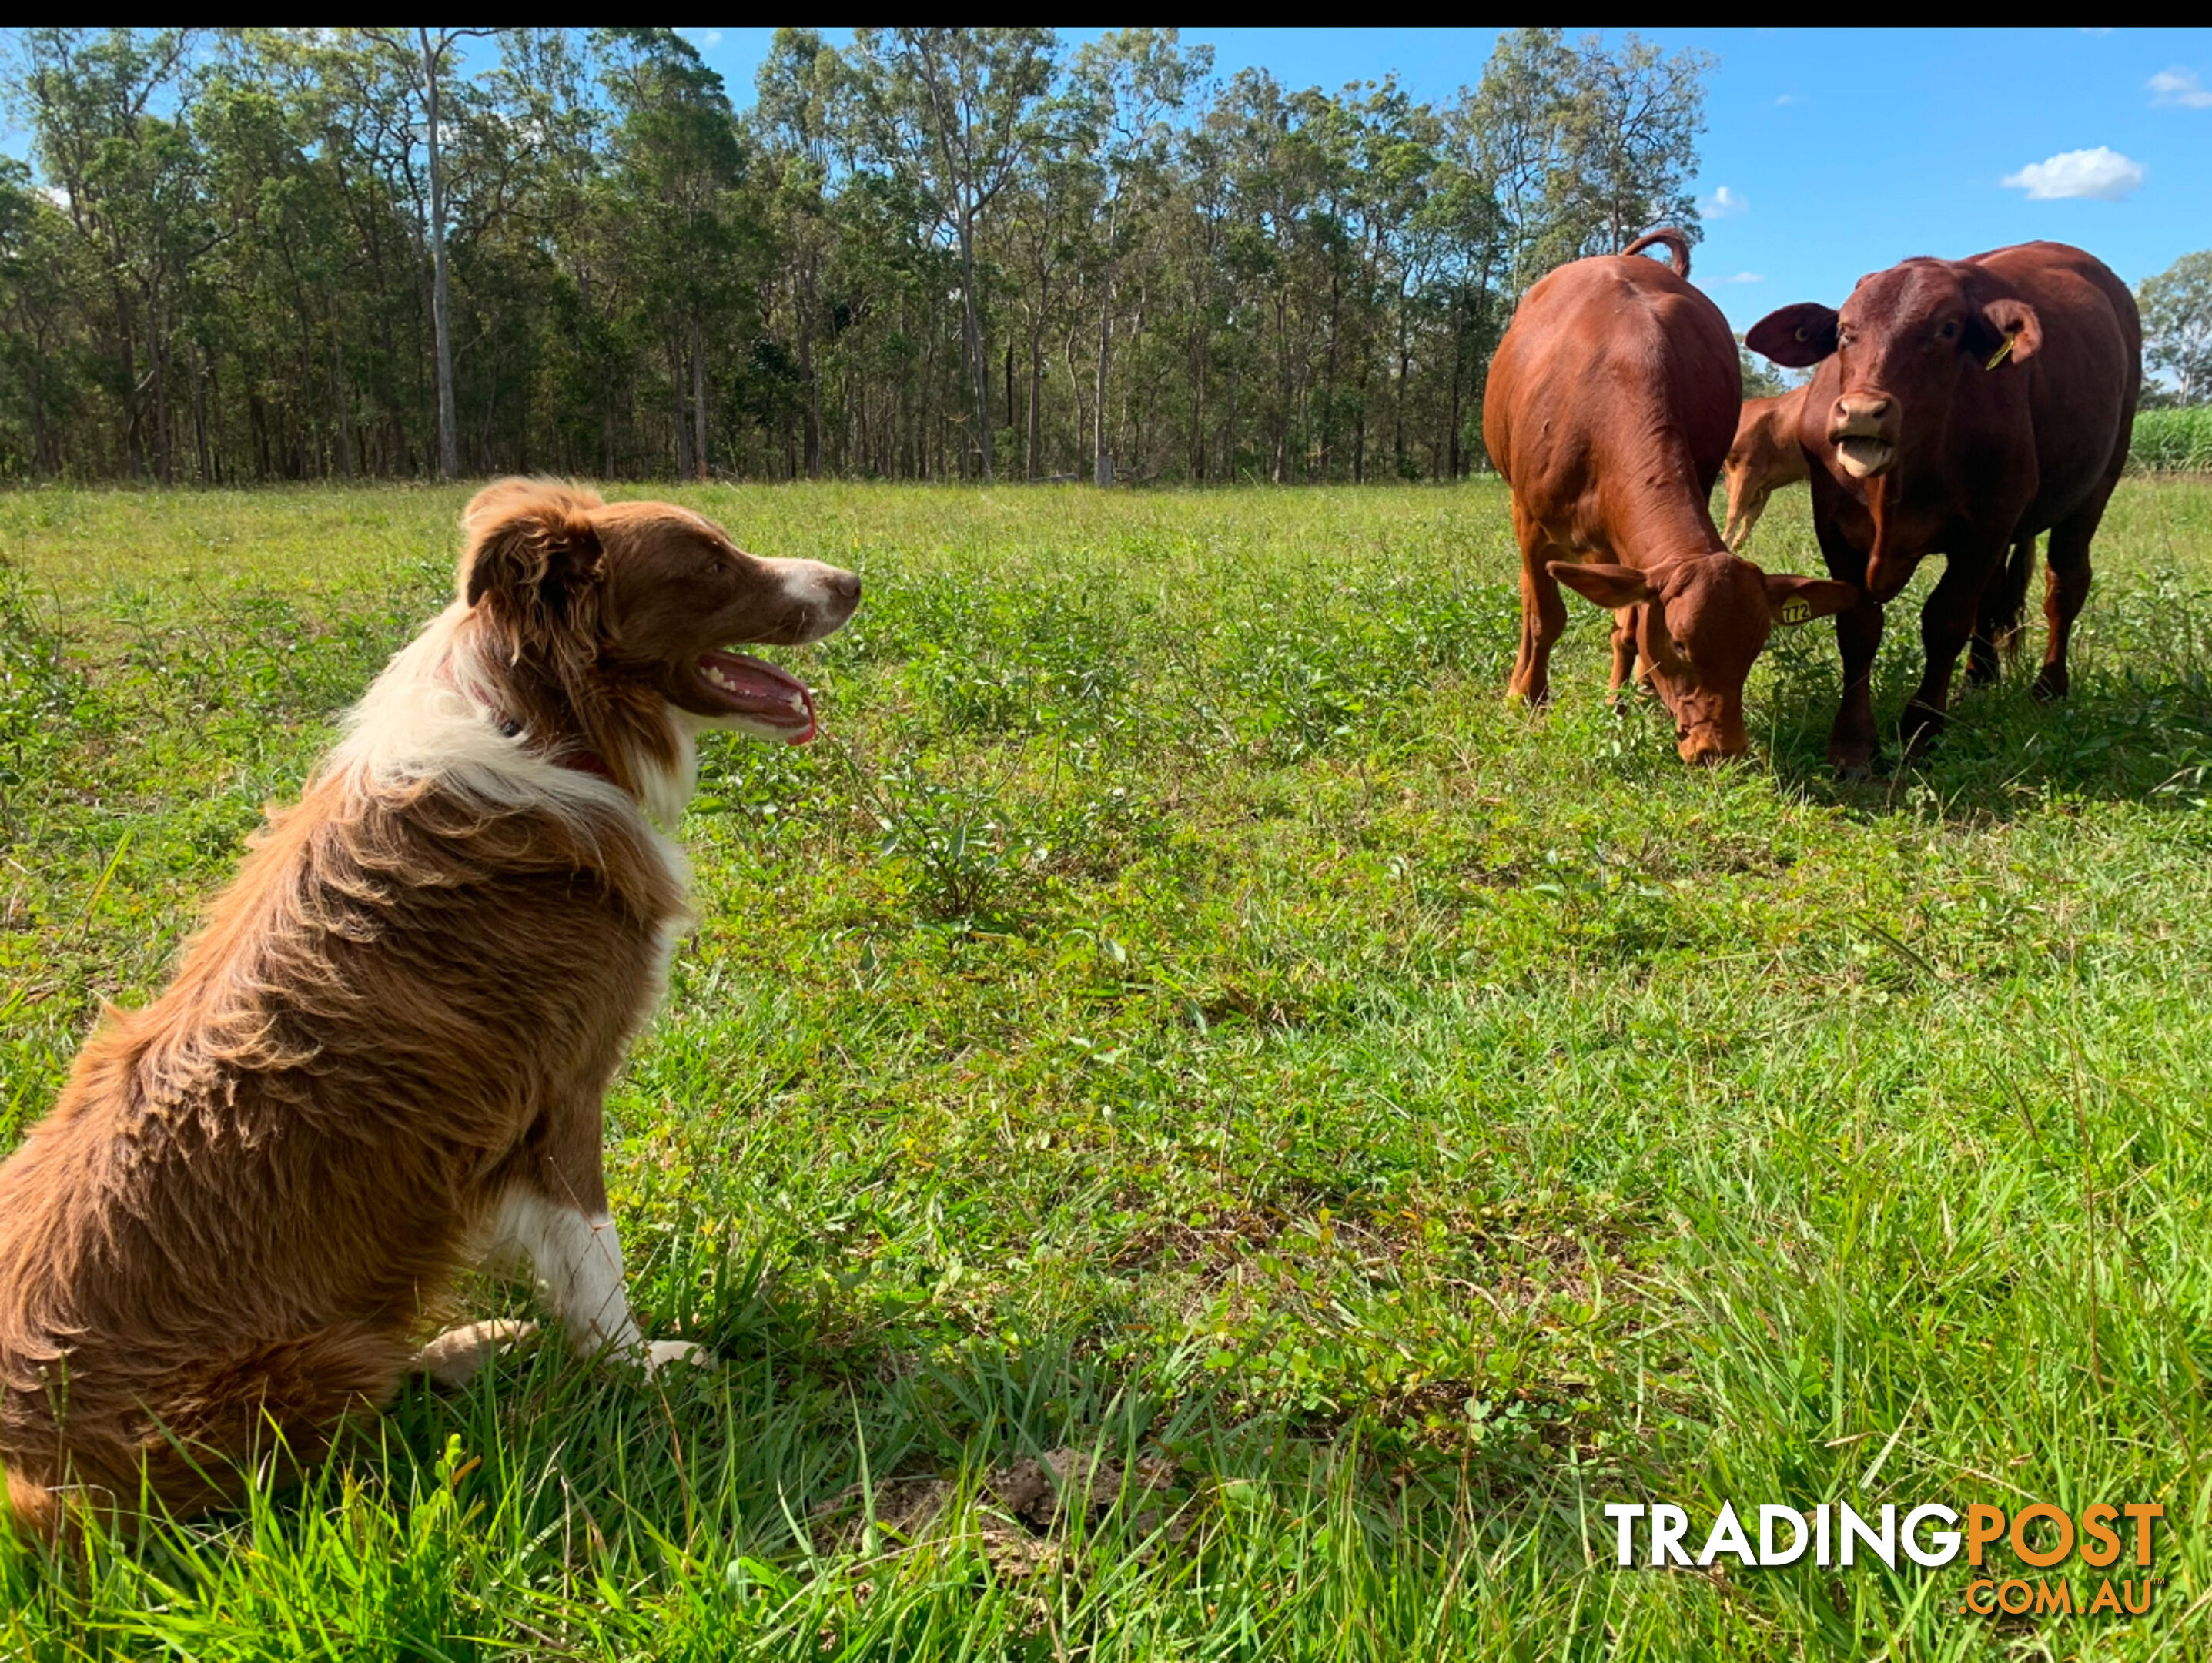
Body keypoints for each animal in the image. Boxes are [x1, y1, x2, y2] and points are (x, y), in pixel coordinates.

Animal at [1742, 243, 2141, 778]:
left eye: (1947, 329)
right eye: (1844, 331)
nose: (1862, 412)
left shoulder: (1987, 526)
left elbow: (1945, 621)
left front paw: (1922, 728)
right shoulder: (1834, 529)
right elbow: (1858, 628)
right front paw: (1852, 743)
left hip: (2097, 483)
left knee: (2065, 583)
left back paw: (2048, 688)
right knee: (1993, 597)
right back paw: (1979, 678)